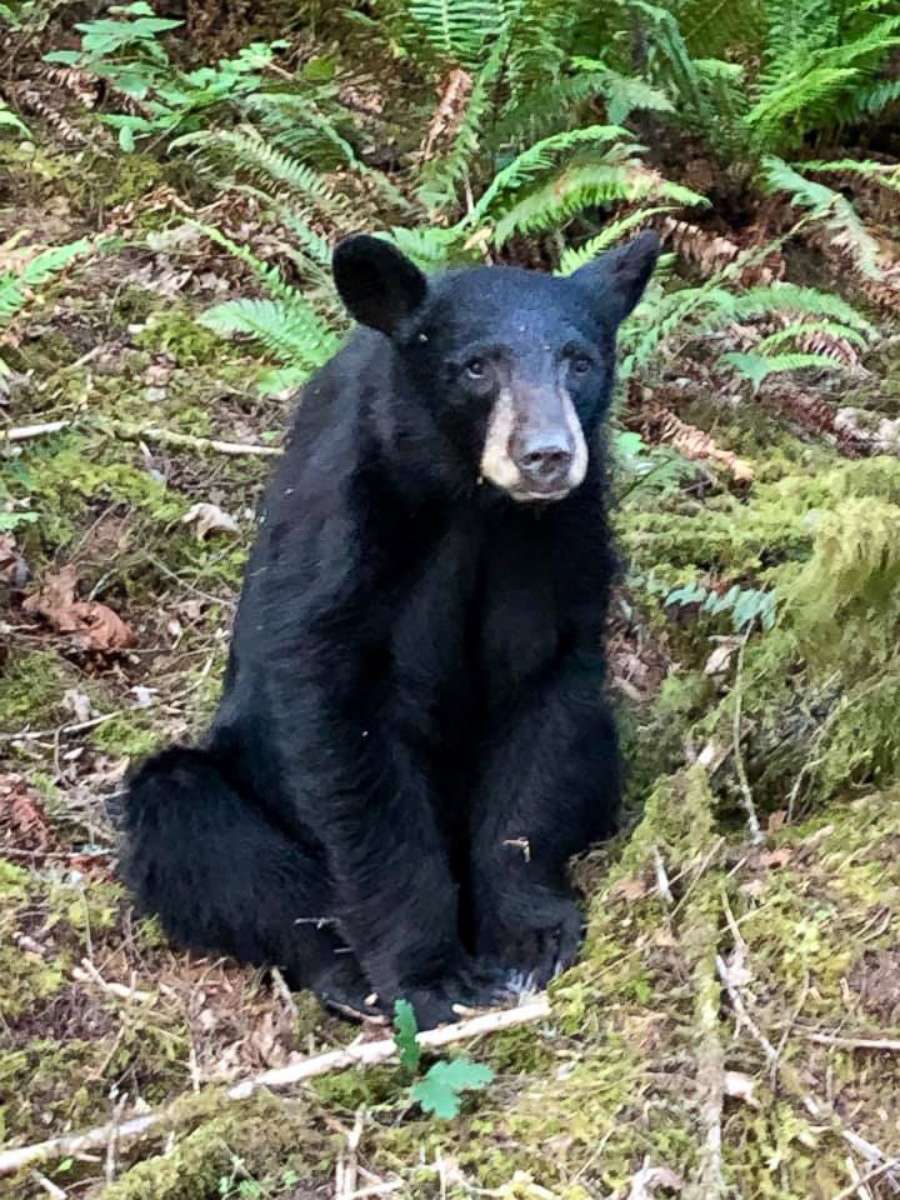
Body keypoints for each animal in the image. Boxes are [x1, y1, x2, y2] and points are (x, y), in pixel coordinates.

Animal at [120, 229, 657, 1027]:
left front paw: (528, 934)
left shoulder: (563, 540)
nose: (547, 455)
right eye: (476, 366)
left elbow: (546, 701)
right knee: (190, 822)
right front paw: (430, 974)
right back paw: (344, 969)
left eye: (580, 361)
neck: (474, 504)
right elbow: (344, 730)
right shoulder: (349, 525)